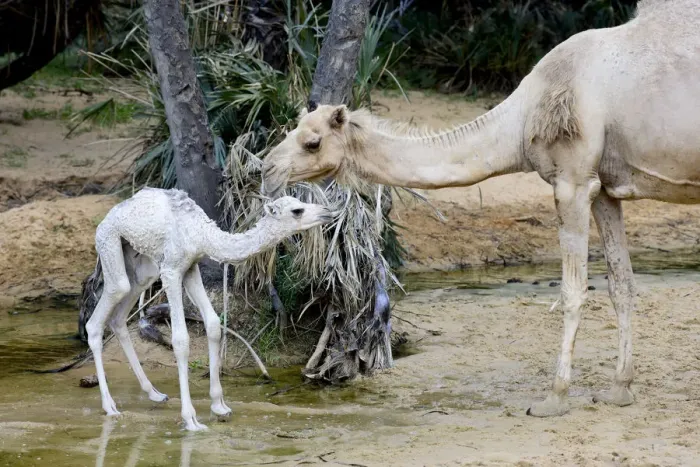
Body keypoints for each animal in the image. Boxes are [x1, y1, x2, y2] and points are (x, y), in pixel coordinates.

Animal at [83, 187, 333, 431]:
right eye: (297, 210)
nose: (328, 212)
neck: (199, 233)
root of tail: (107, 217)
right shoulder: (171, 270)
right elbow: (180, 339)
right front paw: (191, 419)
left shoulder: (191, 267)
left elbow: (213, 324)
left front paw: (220, 406)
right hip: (110, 243)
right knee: (100, 314)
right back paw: (110, 407)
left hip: (143, 267)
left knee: (118, 318)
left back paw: (154, 393)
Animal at [260, 0, 700, 417]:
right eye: (294, 130)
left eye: (312, 142)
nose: (266, 167)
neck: (521, 120)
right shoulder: (605, 188)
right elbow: (621, 284)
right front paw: (619, 391)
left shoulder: (572, 182)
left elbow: (573, 290)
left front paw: (553, 399)